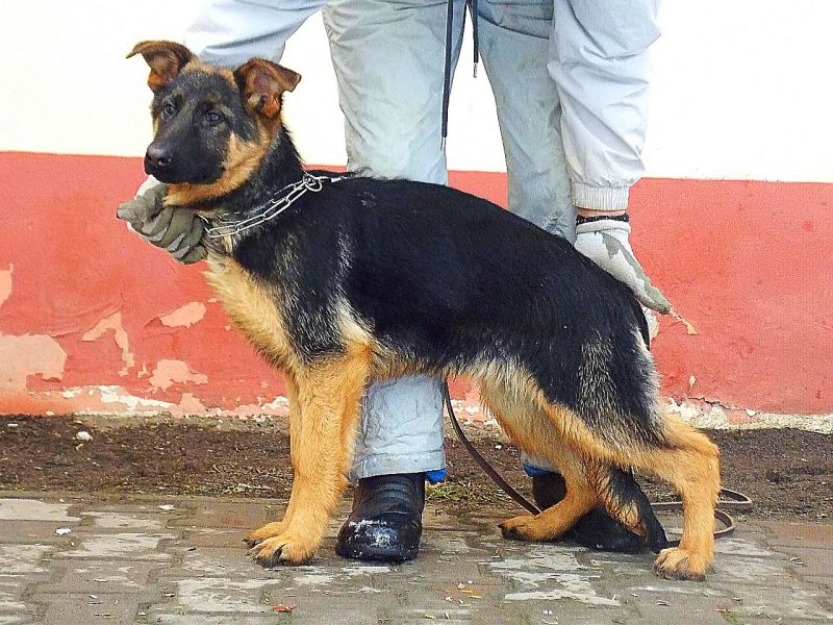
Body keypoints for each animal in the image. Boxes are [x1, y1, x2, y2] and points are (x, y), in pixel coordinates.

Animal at [127, 42, 720, 580]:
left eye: (214, 117)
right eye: (167, 109)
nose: (154, 160)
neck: (270, 203)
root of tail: (617, 292)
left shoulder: (327, 368)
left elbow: (314, 461)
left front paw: (297, 541)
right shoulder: (305, 380)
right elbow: (301, 454)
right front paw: (289, 529)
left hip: (592, 406)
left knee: (696, 457)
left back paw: (692, 556)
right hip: (530, 404)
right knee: (582, 476)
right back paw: (543, 525)